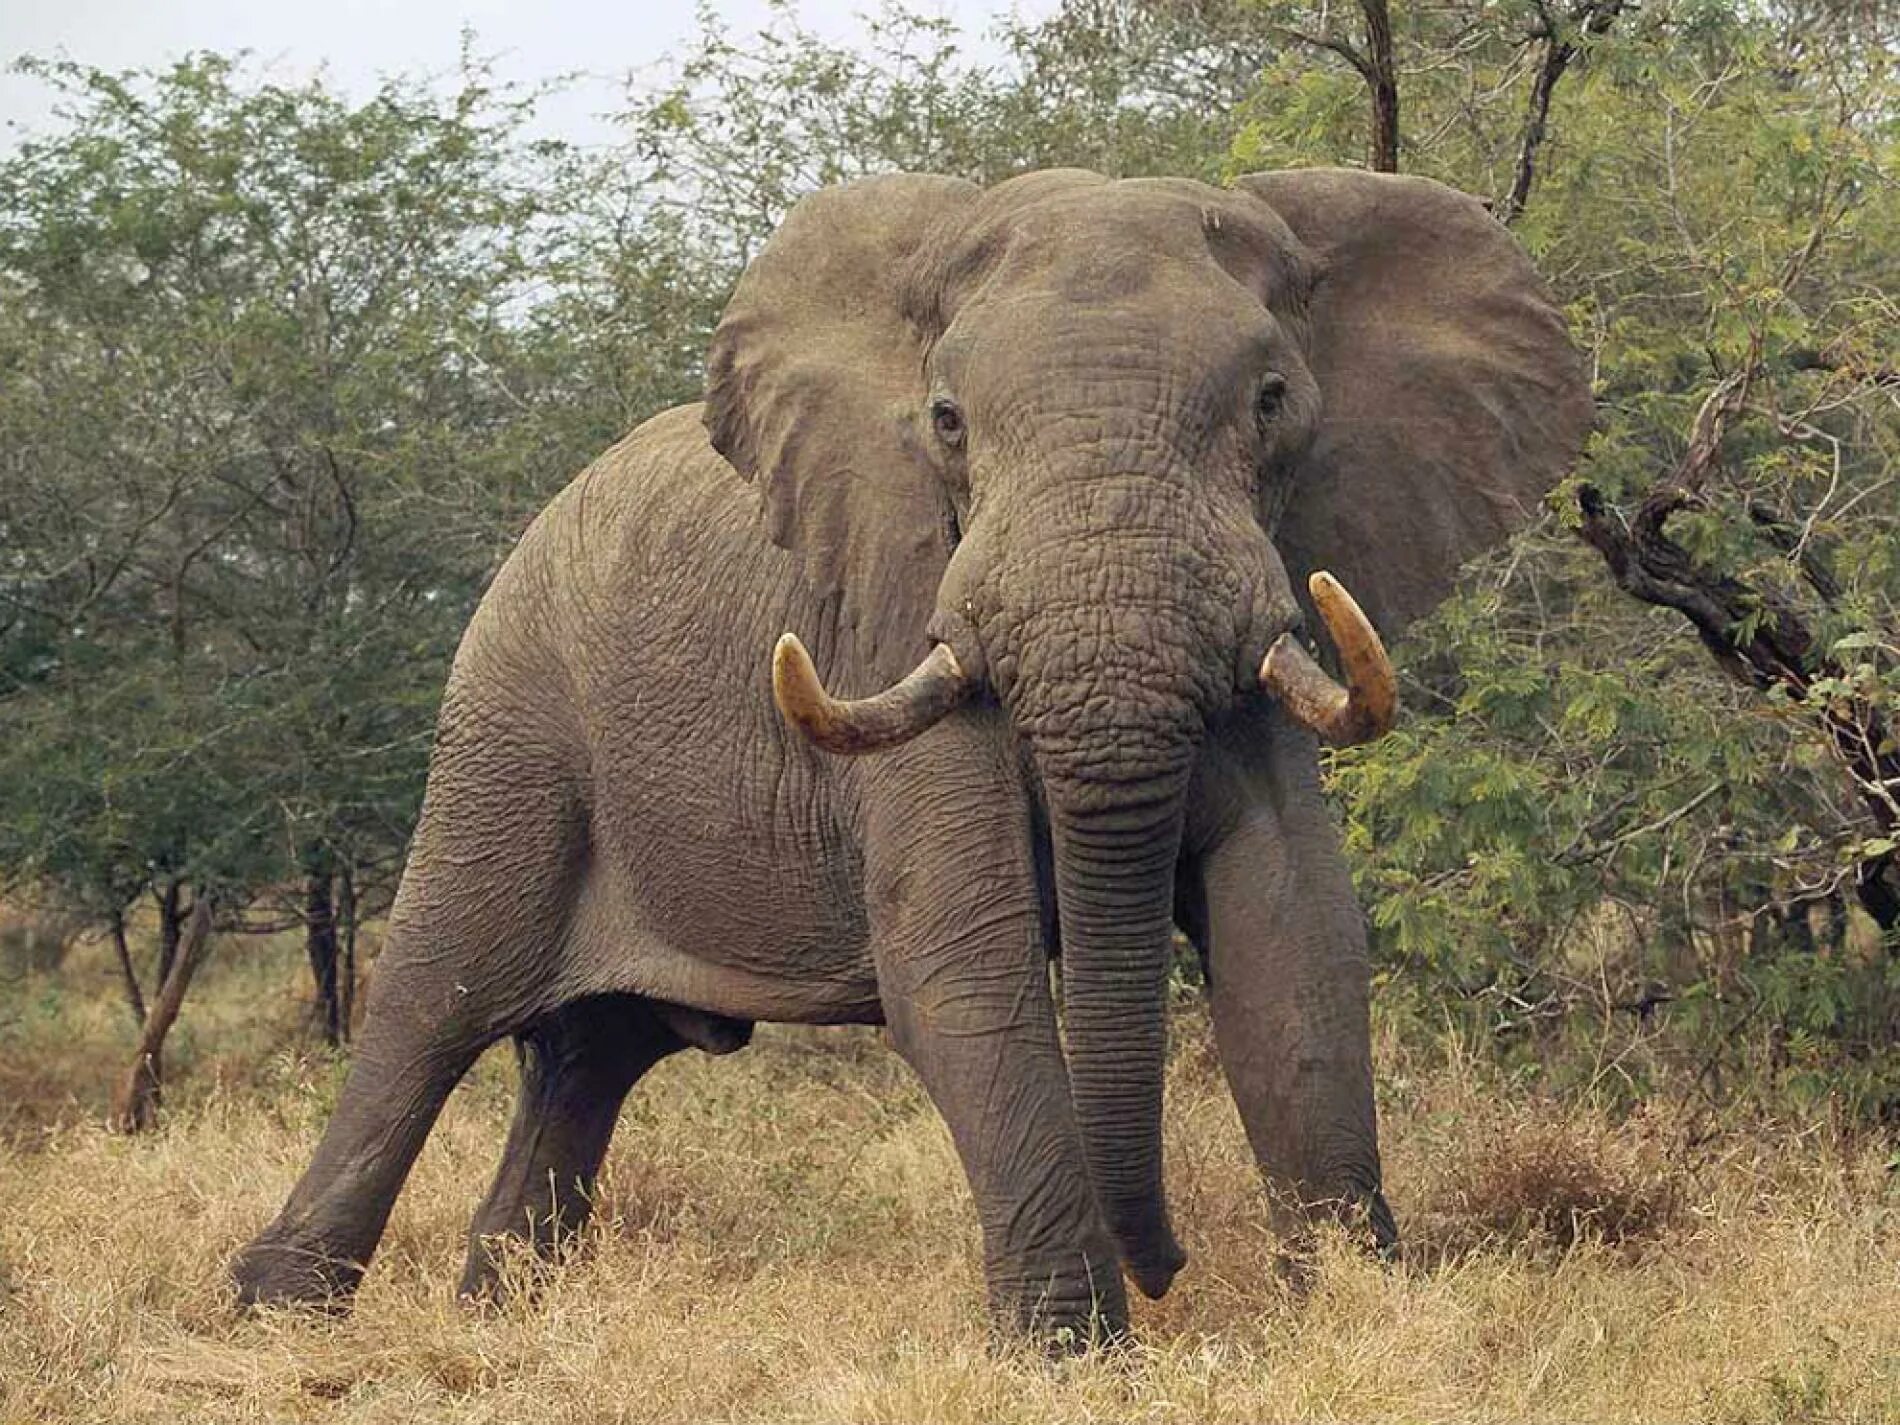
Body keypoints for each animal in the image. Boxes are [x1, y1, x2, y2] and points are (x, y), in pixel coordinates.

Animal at [229, 164, 1588, 1337]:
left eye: (1272, 404)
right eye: (945, 422)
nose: (1171, 1270)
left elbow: (1292, 937)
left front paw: (1353, 1313)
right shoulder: (891, 612)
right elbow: (959, 960)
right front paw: (1070, 1354)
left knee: (585, 1058)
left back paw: (497, 1311)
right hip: (510, 726)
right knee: (431, 1006)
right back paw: (276, 1317)